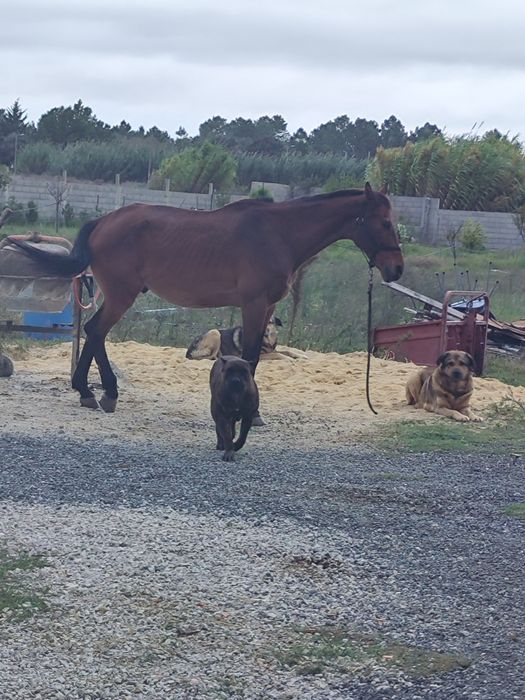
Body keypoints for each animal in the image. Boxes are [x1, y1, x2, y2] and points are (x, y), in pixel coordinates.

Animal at [9, 183, 403, 413]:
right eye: (385, 222)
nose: (396, 268)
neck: (278, 234)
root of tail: (104, 222)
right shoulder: (253, 304)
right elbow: (250, 358)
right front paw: (249, 413)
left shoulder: (267, 307)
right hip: (122, 295)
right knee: (96, 332)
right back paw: (97, 393)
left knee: (95, 334)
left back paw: (95, 392)